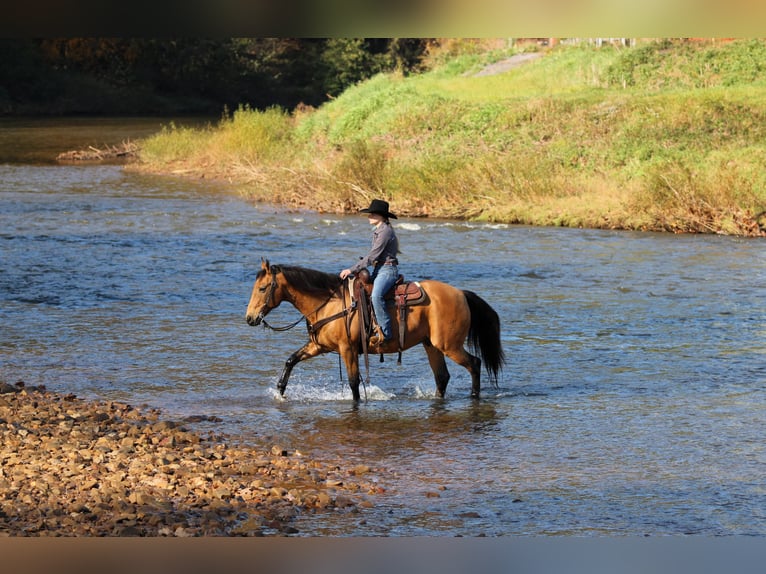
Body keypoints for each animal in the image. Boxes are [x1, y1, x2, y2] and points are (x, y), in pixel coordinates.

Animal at [245, 258, 505, 402]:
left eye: (262, 288)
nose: (250, 318)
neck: (329, 302)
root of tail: (461, 293)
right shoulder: (319, 346)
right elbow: (291, 360)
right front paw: (280, 391)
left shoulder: (347, 349)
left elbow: (353, 383)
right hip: (431, 345)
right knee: (442, 377)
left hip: (449, 345)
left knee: (474, 364)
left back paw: (474, 397)